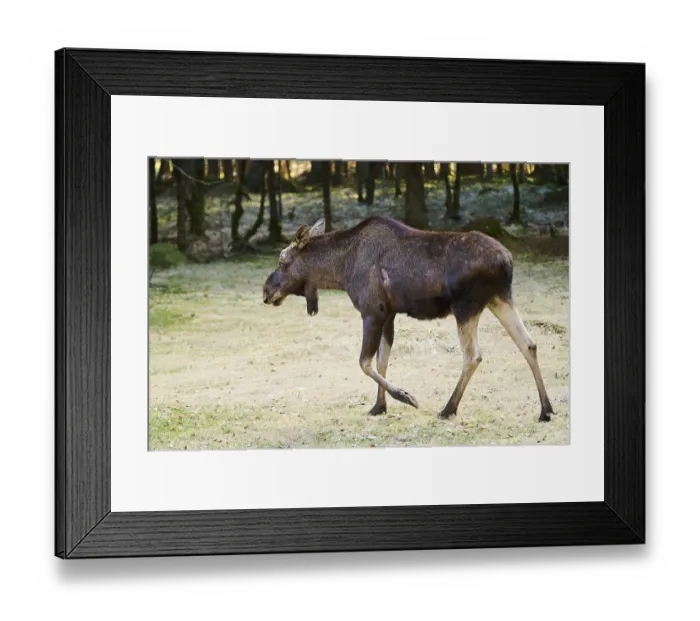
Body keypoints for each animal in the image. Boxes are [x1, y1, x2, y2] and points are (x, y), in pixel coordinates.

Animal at [262, 215, 555, 422]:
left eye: (282, 260)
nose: (266, 291)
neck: (339, 271)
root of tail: (507, 261)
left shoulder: (372, 310)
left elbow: (364, 362)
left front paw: (405, 396)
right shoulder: (389, 314)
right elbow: (381, 361)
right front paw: (378, 406)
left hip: (466, 306)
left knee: (473, 356)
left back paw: (448, 408)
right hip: (499, 298)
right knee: (528, 343)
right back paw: (546, 410)